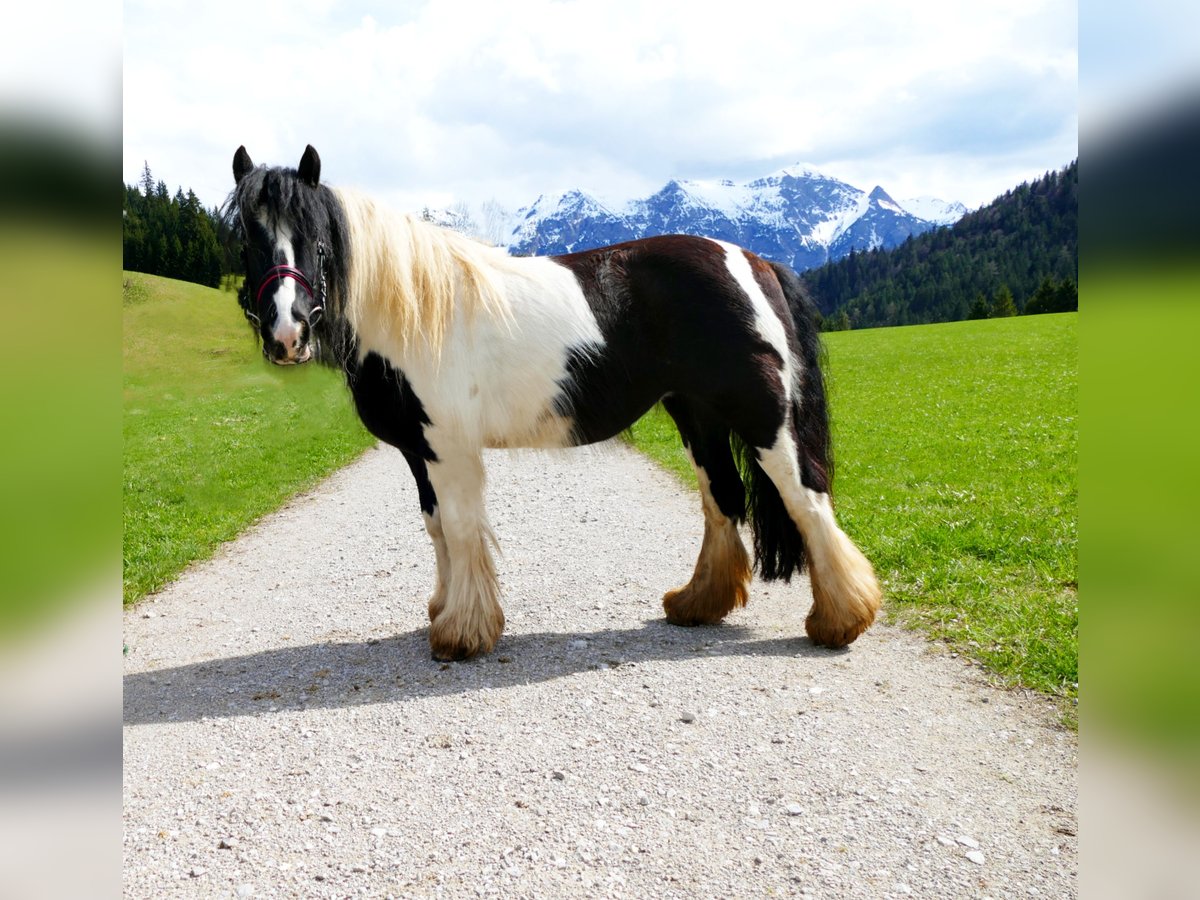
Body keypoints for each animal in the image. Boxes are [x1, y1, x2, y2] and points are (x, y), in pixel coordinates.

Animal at [225, 144, 883, 657]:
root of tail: (754, 261)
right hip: (697, 415)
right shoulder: (419, 451)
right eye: (249, 240)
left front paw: (462, 634)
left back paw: (840, 621)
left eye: (314, 239)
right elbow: (436, 528)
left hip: (763, 418)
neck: (413, 310)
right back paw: (698, 604)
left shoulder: (448, 448)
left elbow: (460, 528)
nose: (286, 334)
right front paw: (443, 611)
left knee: (806, 499)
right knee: (722, 498)